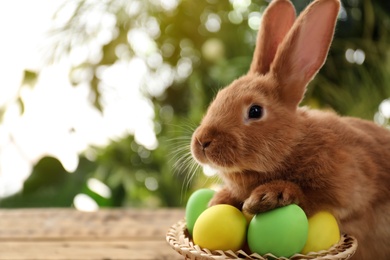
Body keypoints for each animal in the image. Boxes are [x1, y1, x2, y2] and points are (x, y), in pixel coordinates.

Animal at [190, 0, 390, 258]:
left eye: (255, 111)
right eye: (220, 96)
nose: (202, 142)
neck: (293, 144)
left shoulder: (347, 184)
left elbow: (312, 196)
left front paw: (267, 196)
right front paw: (216, 201)